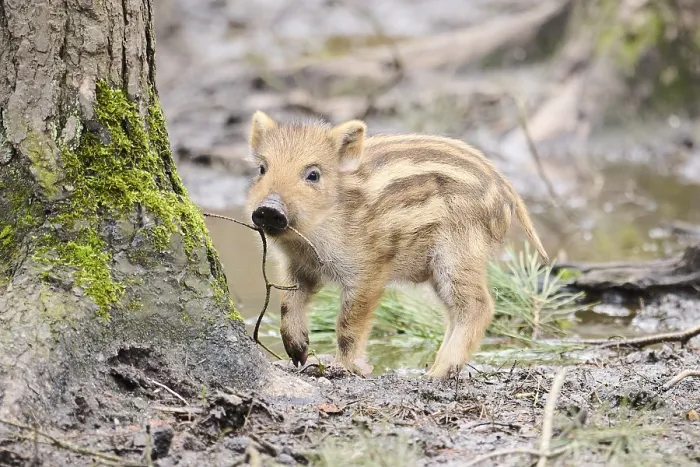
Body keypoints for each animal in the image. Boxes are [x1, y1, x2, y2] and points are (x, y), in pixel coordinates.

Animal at [244, 111, 548, 379]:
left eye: (313, 174)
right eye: (262, 169)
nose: (269, 209)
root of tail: (506, 191)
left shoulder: (368, 271)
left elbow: (348, 324)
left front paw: (341, 368)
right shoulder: (298, 267)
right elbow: (288, 302)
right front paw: (298, 355)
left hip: (459, 251)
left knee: (478, 306)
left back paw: (436, 374)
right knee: (454, 311)